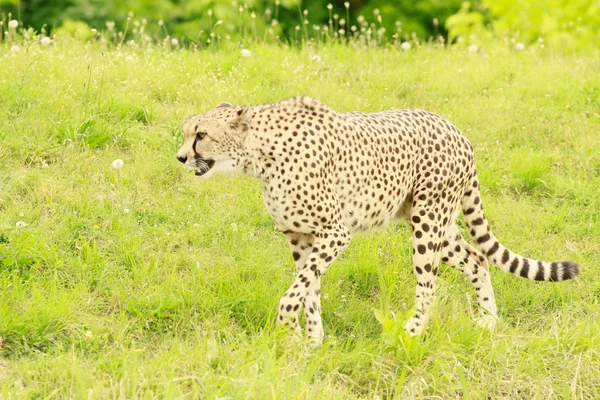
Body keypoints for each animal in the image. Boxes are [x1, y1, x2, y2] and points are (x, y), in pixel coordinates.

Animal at [176, 96, 580, 344]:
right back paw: (489, 321)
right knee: (478, 258)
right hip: (437, 224)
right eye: (187, 133)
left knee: (428, 287)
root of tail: (455, 128)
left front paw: (287, 331)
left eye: (201, 134)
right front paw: (312, 342)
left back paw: (410, 334)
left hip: (427, 222)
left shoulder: (334, 233)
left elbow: (295, 292)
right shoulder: (300, 237)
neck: (258, 157)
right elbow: (310, 290)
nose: (180, 157)